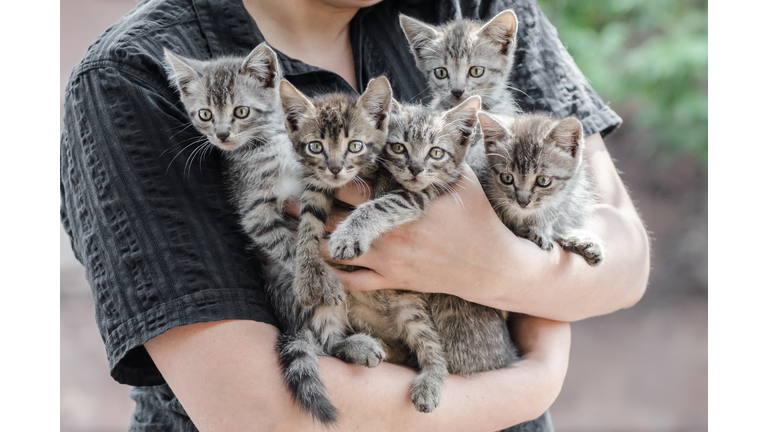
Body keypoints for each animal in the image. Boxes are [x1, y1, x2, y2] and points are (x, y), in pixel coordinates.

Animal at [276, 76, 392, 424]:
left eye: (355, 145)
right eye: (316, 146)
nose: (336, 168)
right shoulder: (315, 182)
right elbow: (308, 223)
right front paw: (306, 273)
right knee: (326, 344)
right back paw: (357, 346)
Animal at [328, 96, 520, 414]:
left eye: (436, 152)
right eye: (399, 147)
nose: (415, 168)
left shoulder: (418, 196)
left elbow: (378, 206)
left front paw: (348, 234)